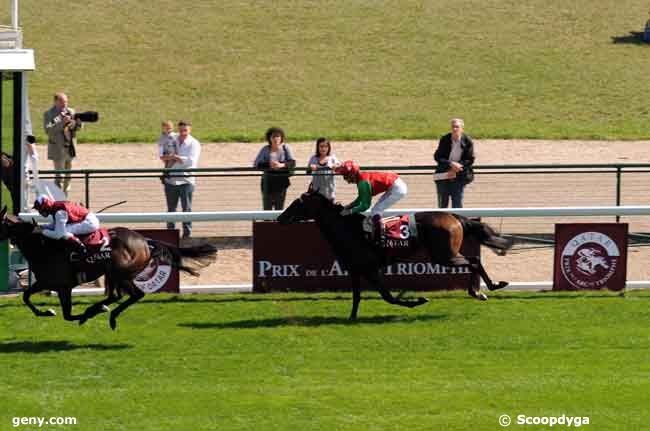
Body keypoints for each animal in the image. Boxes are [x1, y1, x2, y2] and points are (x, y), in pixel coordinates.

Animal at [0, 208, 218, 330]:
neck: (43, 246)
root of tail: (145, 241)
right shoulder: (45, 282)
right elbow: (26, 296)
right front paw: (47, 311)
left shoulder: (62, 286)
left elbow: (68, 315)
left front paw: (82, 315)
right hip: (113, 273)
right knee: (116, 296)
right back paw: (102, 310)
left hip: (120, 272)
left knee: (134, 295)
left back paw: (109, 316)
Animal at [276, 192, 508, 320]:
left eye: (297, 203)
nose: (280, 218)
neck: (349, 231)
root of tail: (454, 216)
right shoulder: (355, 270)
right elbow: (357, 297)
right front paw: (351, 317)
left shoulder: (371, 270)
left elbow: (387, 296)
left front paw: (418, 300)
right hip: (445, 255)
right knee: (474, 261)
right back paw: (489, 287)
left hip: (445, 256)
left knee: (473, 261)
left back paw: (481, 291)